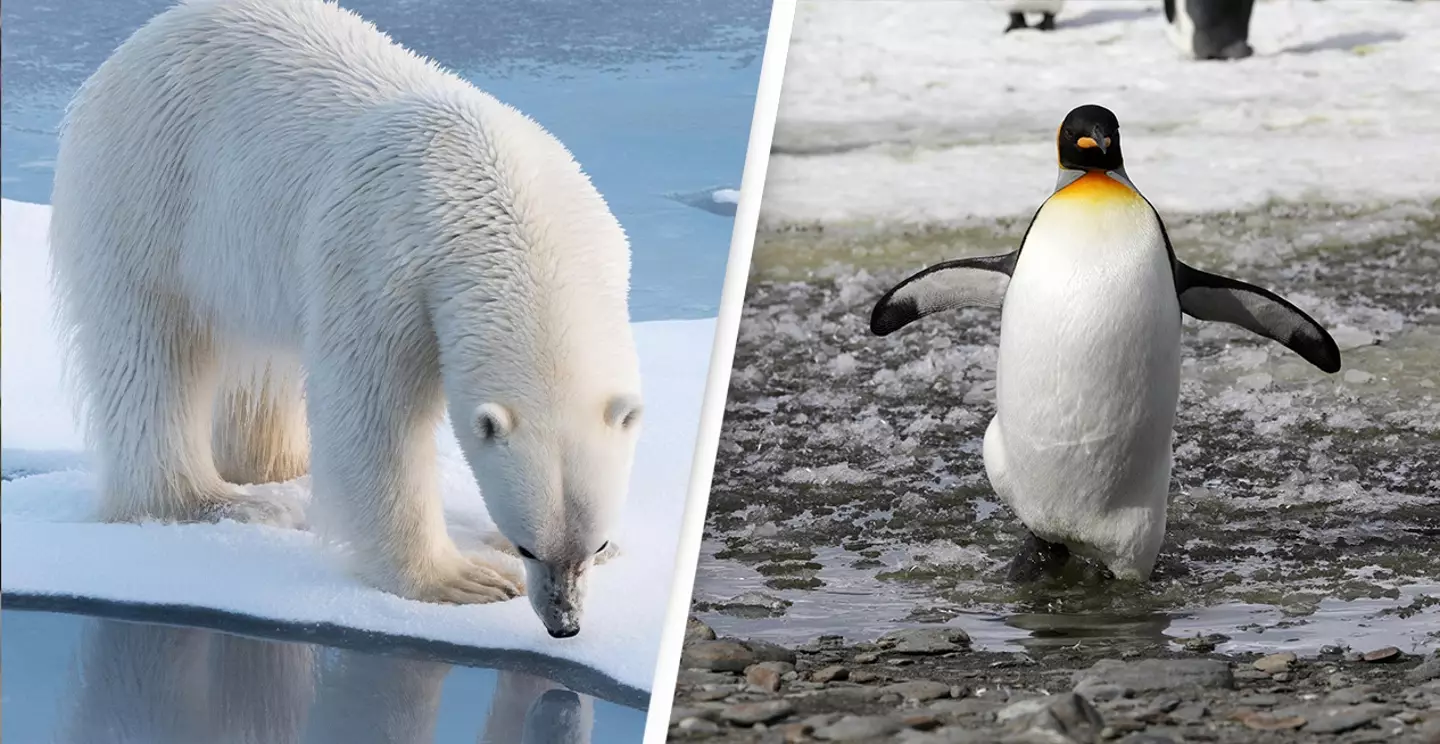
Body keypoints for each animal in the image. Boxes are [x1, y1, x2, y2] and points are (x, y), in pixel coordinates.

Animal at [46, 0, 642, 638]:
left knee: (266, 364)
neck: (516, 221)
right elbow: (374, 410)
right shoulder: (384, 260)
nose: (565, 623)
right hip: (149, 189)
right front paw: (462, 579)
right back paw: (215, 502)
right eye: (529, 545)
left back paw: (282, 468)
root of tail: (132, 47)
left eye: (593, 542)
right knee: (151, 350)